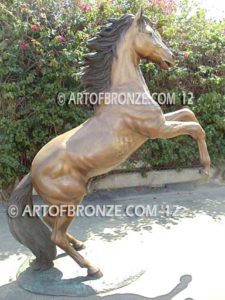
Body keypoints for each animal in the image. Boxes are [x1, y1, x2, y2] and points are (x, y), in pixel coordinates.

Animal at [7, 8, 211, 278]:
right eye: (150, 33)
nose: (171, 58)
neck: (126, 93)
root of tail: (32, 171)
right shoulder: (157, 129)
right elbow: (196, 128)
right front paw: (205, 169)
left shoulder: (160, 123)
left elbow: (189, 113)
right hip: (71, 199)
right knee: (56, 235)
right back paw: (92, 268)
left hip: (60, 202)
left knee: (51, 224)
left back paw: (78, 244)